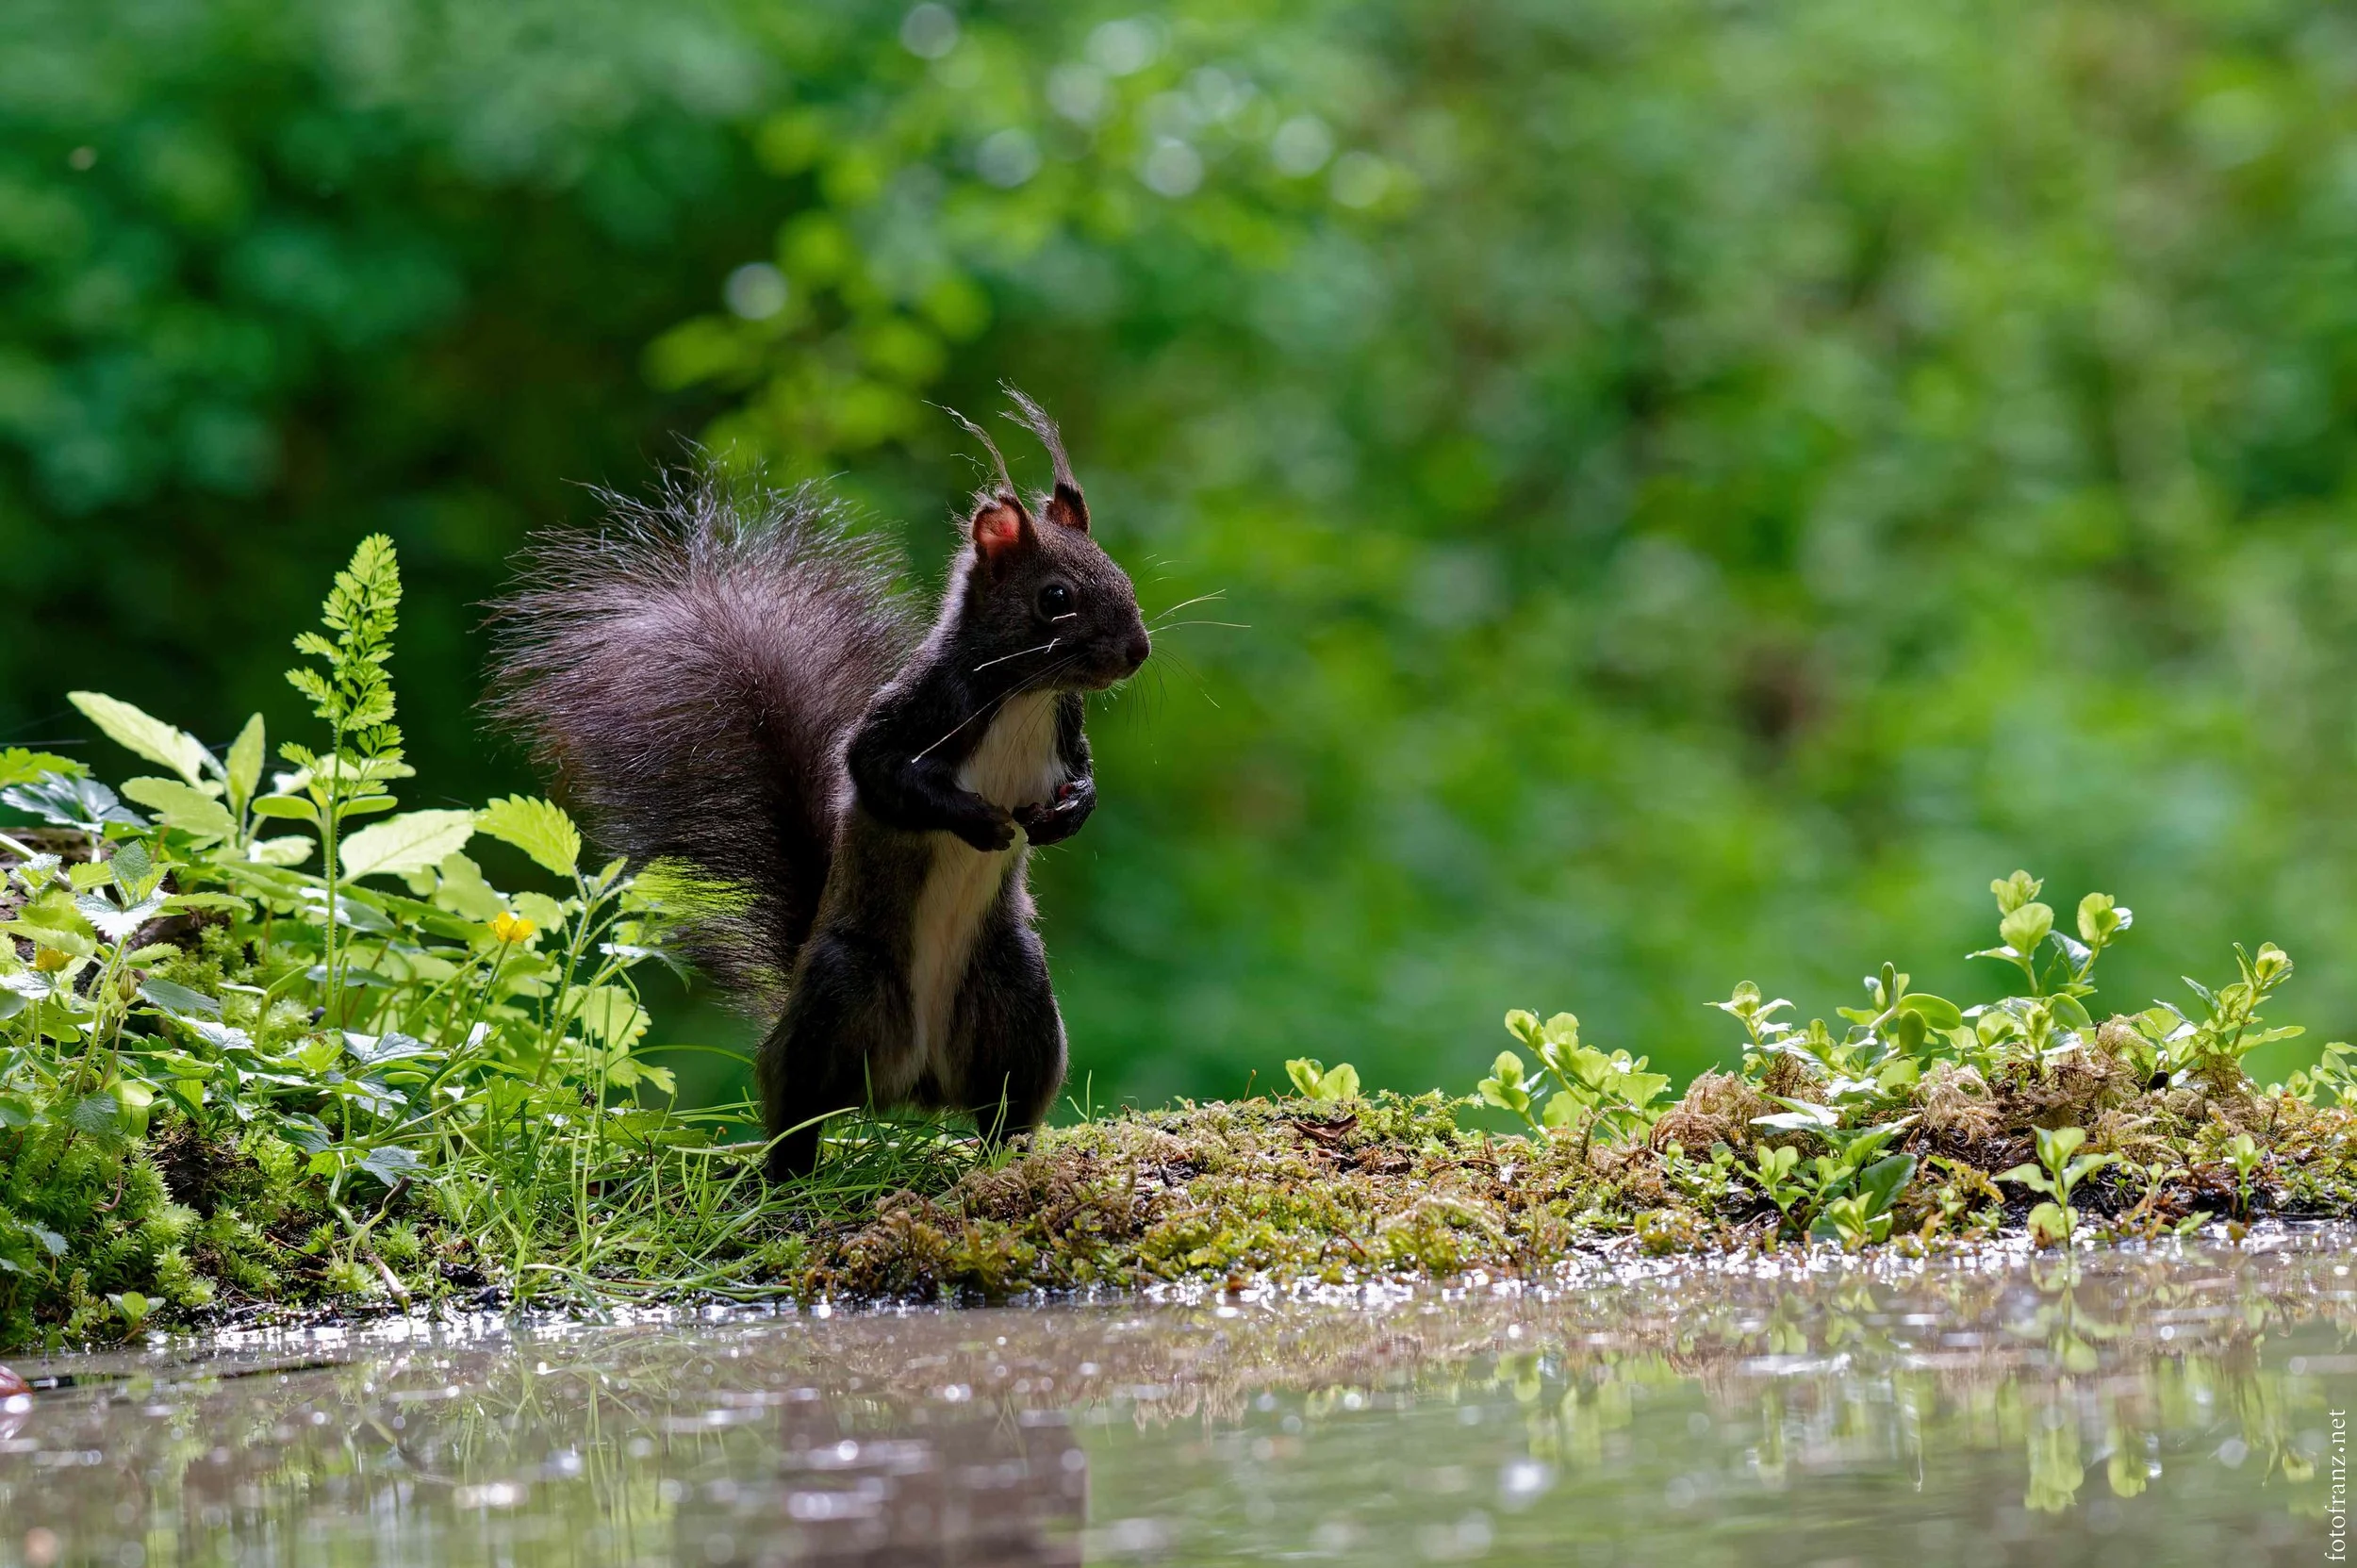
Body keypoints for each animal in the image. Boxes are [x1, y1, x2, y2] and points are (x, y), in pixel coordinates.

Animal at [490, 391, 1149, 1178]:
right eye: (1056, 597)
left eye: (1121, 574)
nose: (1138, 651)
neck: (1023, 693)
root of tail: (913, 1081)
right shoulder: (917, 710)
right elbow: (880, 774)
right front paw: (978, 820)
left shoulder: (1064, 724)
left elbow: (1081, 774)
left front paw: (1068, 813)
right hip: (838, 994)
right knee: (799, 1101)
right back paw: (786, 1168)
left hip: (1014, 994)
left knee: (1003, 1100)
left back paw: (1008, 1150)